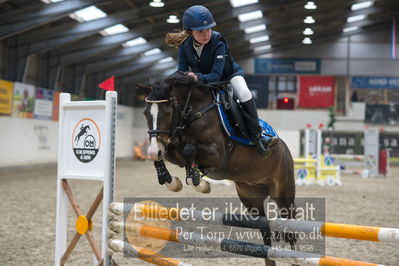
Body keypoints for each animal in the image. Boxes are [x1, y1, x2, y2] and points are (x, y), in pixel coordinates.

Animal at [141, 71, 296, 264]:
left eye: (168, 112)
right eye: (145, 113)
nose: (154, 149)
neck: (193, 112)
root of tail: (284, 147)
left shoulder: (217, 154)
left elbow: (188, 149)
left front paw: (198, 181)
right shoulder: (172, 148)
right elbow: (169, 155)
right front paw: (171, 180)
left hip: (282, 192)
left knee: (290, 226)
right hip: (251, 197)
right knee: (264, 229)